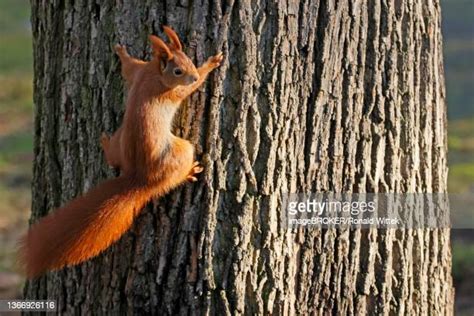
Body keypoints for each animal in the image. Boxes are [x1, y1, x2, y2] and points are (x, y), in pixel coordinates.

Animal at [20, 27, 224, 278]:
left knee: (112, 157)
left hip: (119, 137)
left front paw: (120, 51)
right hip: (181, 151)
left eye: (188, 60)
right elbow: (188, 90)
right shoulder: (170, 90)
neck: (154, 74)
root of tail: (139, 179)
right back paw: (189, 173)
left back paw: (105, 143)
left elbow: (128, 67)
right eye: (178, 70)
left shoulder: (138, 71)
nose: (193, 75)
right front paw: (211, 64)